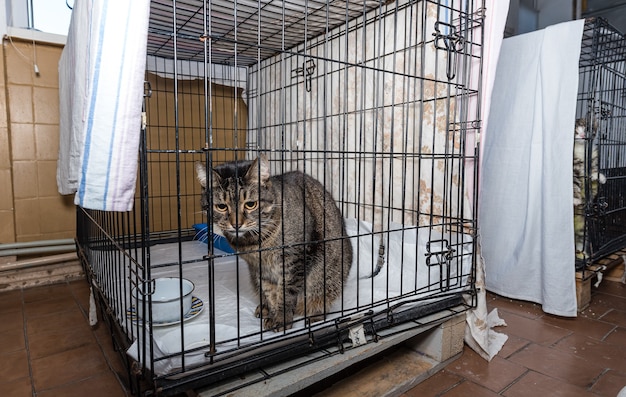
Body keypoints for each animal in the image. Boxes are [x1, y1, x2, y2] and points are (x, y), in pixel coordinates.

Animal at [195, 155, 352, 332]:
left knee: (321, 300)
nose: (236, 224)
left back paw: (315, 317)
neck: (256, 243)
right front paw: (273, 313)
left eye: (250, 204)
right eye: (221, 207)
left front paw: (282, 319)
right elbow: (271, 292)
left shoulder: (295, 260)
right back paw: (263, 308)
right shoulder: (260, 269)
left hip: (328, 279)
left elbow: (286, 293)